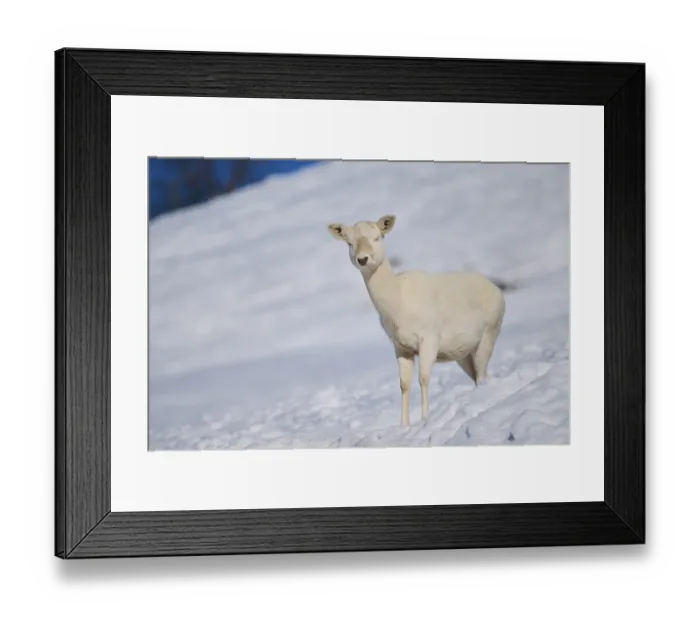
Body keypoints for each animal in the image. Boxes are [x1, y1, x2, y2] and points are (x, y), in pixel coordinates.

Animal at [327, 215, 506, 427]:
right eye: (350, 243)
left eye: (377, 237)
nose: (363, 259)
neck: (398, 304)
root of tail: (499, 292)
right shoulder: (401, 347)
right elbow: (404, 384)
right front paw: (404, 424)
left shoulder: (429, 339)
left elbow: (424, 378)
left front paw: (425, 418)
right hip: (463, 355)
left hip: (487, 337)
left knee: (481, 374)